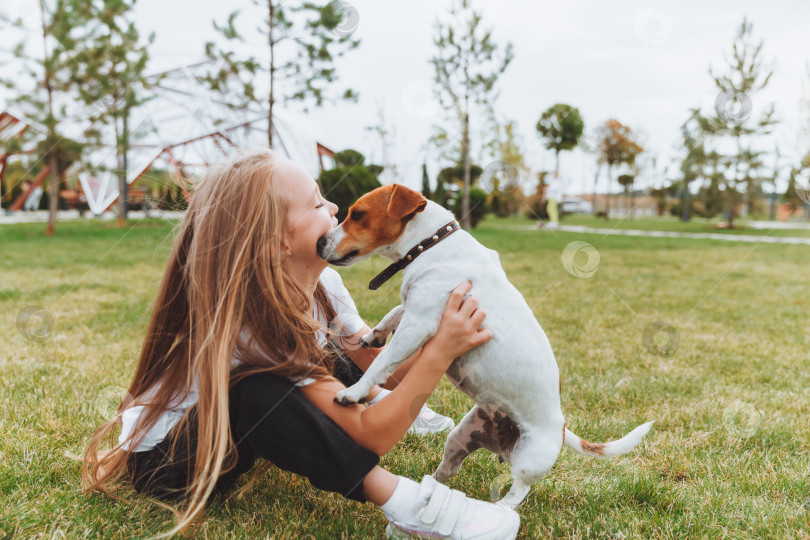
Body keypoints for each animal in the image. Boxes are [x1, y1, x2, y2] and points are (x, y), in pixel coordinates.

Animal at [312, 184, 652, 508]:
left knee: (519, 492)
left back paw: (500, 509)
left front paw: (353, 392)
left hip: (528, 461)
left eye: (357, 214)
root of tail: (563, 427)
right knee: (448, 469)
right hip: (461, 437)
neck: (431, 244)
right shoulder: (417, 313)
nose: (319, 242)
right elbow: (395, 312)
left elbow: (382, 362)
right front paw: (375, 335)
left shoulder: (419, 323)